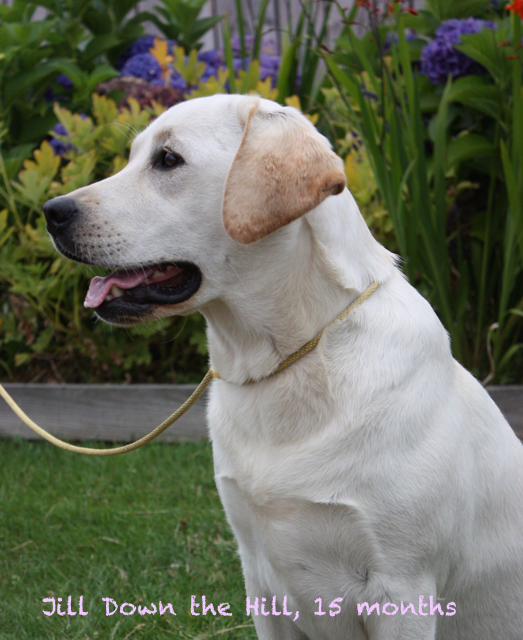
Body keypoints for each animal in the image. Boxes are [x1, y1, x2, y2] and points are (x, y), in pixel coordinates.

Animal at [44, 95, 523, 640]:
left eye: (167, 160)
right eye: (132, 157)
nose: (52, 212)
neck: (285, 361)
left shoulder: (403, 588)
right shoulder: (261, 577)